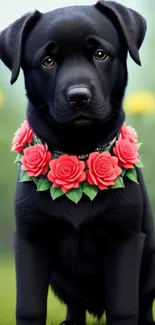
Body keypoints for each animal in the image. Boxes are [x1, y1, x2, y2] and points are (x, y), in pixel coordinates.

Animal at [0, 0, 155, 324]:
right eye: (48, 61)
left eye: (100, 54)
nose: (79, 96)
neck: (79, 154)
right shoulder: (30, 239)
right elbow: (29, 307)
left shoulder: (125, 239)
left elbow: (124, 307)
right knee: (75, 305)